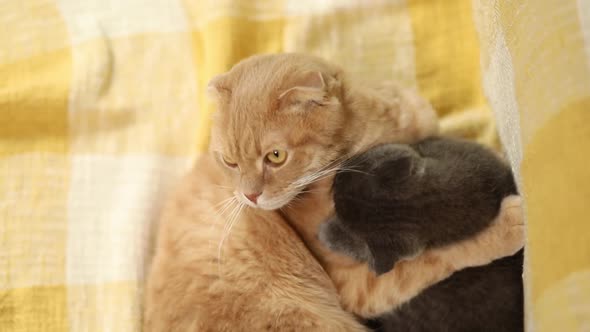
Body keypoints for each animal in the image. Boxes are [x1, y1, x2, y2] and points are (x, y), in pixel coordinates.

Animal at [146, 53, 524, 330]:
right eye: (230, 161)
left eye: (276, 156)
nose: (249, 197)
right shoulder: (358, 285)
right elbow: (439, 256)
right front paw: (507, 227)